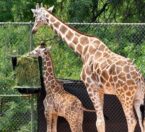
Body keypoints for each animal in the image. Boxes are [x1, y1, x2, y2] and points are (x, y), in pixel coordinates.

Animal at [31, 3, 144, 131]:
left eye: (35, 15)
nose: (33, 30)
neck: (82, 49)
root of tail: (139, 77)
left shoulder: (90, 87)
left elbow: (99, 122)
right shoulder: (100, 90)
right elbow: (101, 120)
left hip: (124, 95)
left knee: (131, 120)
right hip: (139, 96)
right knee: (141, 121)